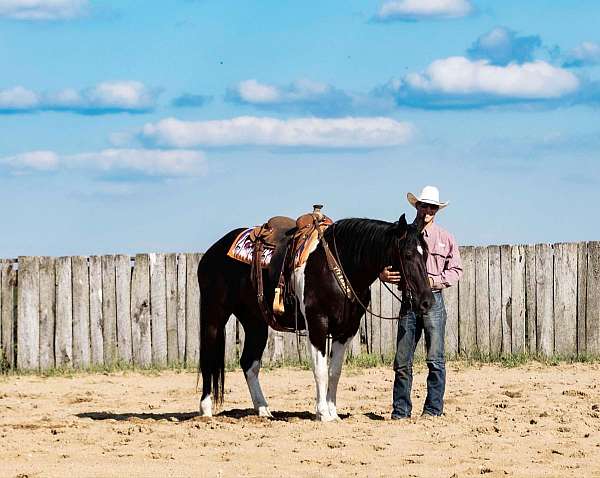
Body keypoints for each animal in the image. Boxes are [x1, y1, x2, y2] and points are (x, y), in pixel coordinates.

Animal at [197, 215, 432, 420]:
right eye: (408, 254)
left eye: (426, 255)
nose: (427, 301)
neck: (337, 265)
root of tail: (212, 253)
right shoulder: (317, 324)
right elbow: (320, 370)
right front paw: (322, 414)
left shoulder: (346, 330)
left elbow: (334, 371)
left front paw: (333, 412)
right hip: (214, 316)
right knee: (208, 358)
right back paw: (206, 410)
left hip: (255, 323)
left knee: (249, 363)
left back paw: (263, 410)